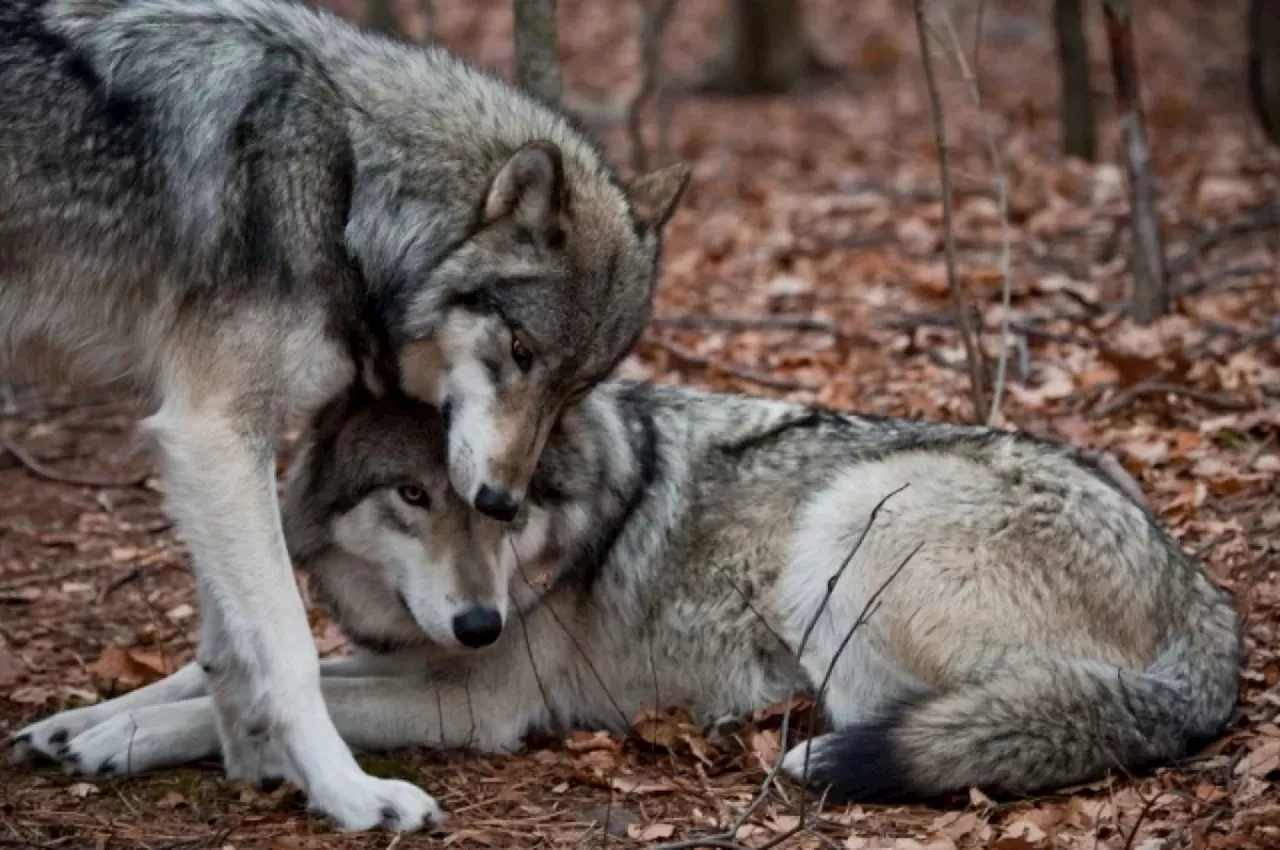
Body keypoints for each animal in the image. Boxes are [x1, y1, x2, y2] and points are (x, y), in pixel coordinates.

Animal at [2, 0, 691, 829]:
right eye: (520, 350)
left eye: (577, 387)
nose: (501, 501)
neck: (347, 190)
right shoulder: (212, 428)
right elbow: (290, 648)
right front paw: (348, 792)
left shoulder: (220, 444)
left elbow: (227, 648)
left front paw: (244, 761)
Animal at [15, 384, 1244, 803]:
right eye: (413, 494)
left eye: (499, 502)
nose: (480, 622)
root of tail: (1208, 600)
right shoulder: (405, 649)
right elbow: (218, 670)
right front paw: (74, 722)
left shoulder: (474, 699)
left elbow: (281, 693)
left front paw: (118, 745)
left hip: (848, 521)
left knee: (882, 719)